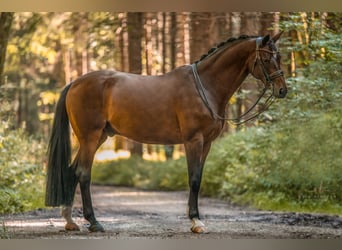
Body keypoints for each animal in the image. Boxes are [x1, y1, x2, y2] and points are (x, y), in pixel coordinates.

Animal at [44, 32, 286, 233]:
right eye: (266, 59)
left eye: (280, 56)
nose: (282, 90)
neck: (205, 87)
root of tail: (75, 83)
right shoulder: (193, 140)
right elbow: (194, 179)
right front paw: (196, 221)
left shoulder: (207, 143)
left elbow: (199, 177)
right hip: (90, 137)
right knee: (83, 173)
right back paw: (94, 222)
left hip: (98, 137)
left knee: (73, 171)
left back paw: (70, 220)